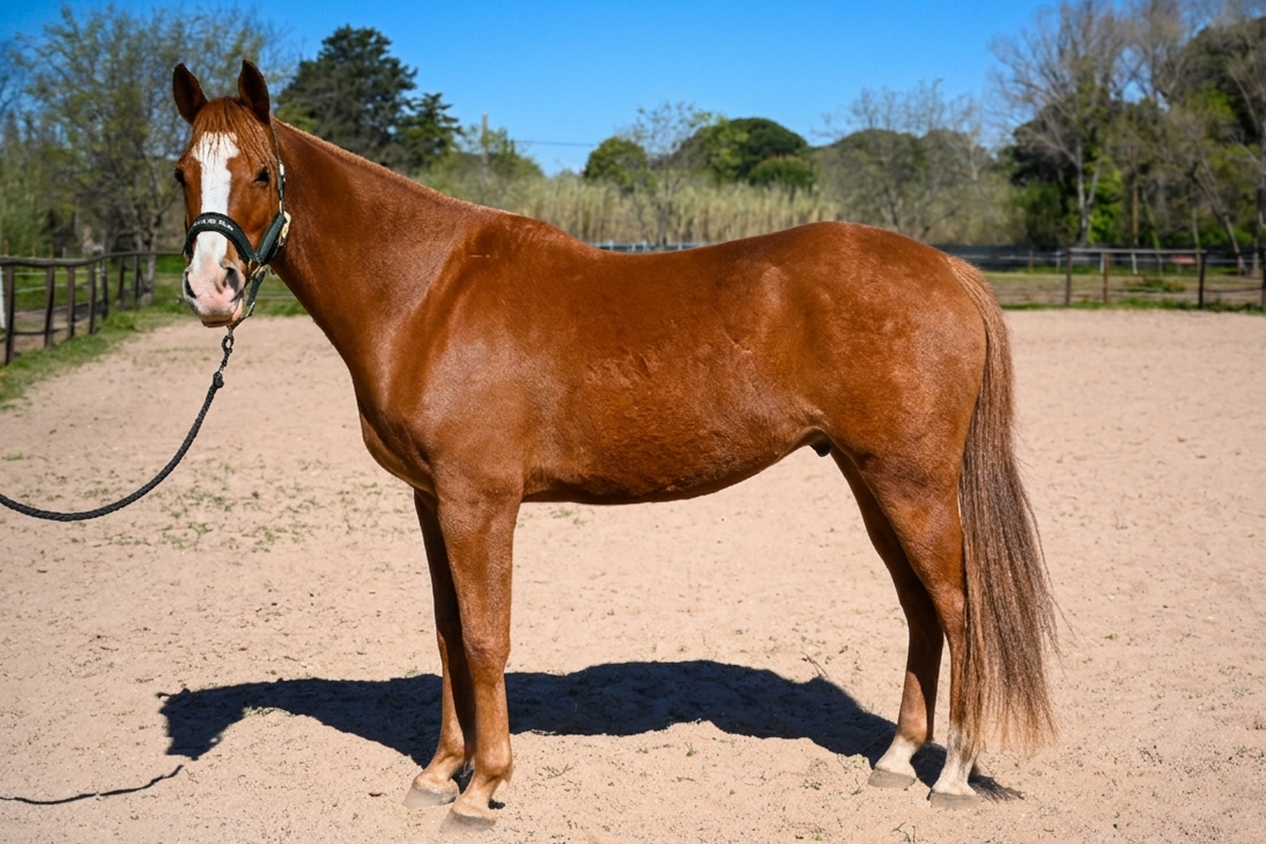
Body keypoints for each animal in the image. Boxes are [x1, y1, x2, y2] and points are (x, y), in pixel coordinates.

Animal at [172, 61, 1057, 829]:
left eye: (261, 173)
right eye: (182, 172)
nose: (211, 290)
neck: (428, 292)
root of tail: (947, 269)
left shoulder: (480, 502)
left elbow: (486, 637)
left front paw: (482, 787)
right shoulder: (433, 500)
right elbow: (448, 631)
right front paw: (439, 771)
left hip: (913, 483)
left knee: (959, 608)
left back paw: (953, 774)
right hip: (870, 481)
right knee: (920, 608)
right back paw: (896, 757)